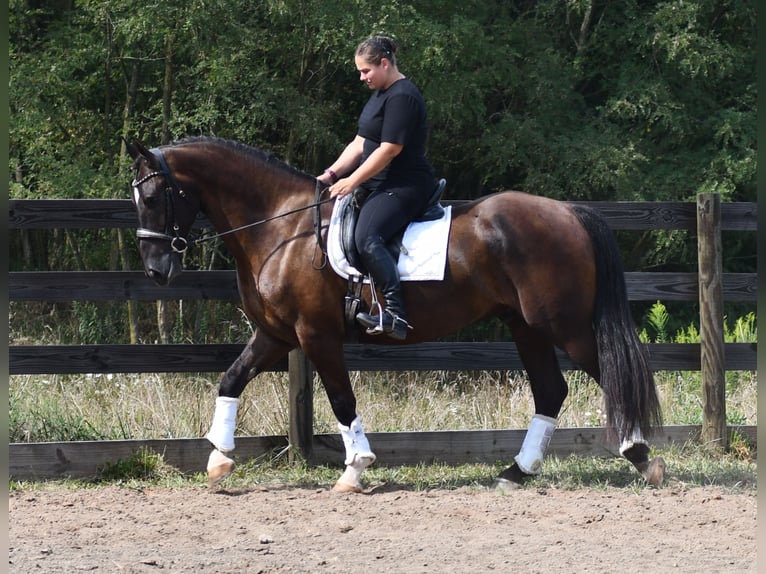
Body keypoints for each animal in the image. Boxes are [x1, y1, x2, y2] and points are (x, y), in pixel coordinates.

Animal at [126, 136, 664, 496]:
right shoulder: (275, 334)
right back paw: (516, 472)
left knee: (611, 374)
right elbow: (231, 379)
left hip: (565, 327)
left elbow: (341, 400)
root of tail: (570, 212)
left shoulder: (315, 335)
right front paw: (218, 460)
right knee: (551, 391)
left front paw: (355, 468)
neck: (282, 228)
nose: (155, 269)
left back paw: (643, 459)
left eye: (151, 198)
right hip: (526, 326)